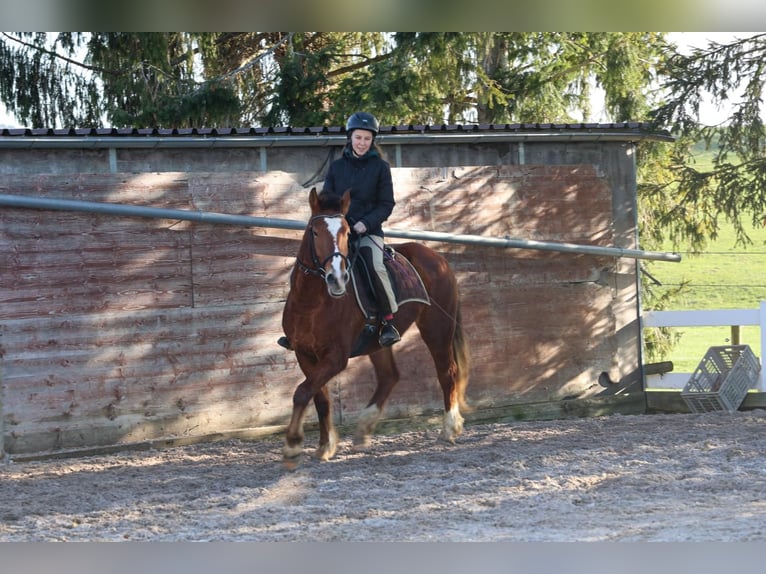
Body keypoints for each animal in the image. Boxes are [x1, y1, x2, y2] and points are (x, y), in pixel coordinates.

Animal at [282, 189, 472, 468]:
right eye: (314, 231)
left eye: (347, 232)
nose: (336, 279)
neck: (313, 303)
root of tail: (438, 258)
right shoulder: (304, 353)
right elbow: (319, 397)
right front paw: (324, 446)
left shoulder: (336, 358)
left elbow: (302, 392)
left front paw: (293, 445)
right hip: (378, 343)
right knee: (389, 376)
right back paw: (364, 429)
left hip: (437, 327)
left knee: (447, 372)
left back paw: (449, 429)